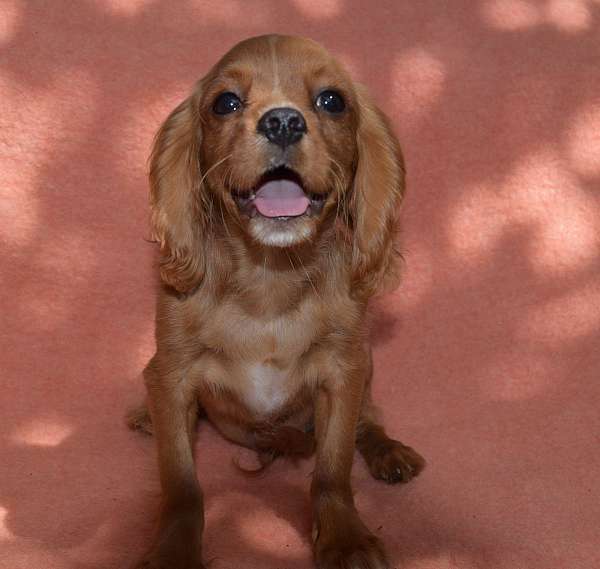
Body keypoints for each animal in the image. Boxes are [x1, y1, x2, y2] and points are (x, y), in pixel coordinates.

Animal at [128, 34, 424, 568]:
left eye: (332, 101)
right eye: (225, 103)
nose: (282, 120)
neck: (269, 276)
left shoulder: (343, 371)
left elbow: (333, 469)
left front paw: (345, 538)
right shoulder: (173, 374)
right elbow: (182, 486)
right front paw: (173, 552)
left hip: (368, 363)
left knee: (368, 421)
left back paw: (386, 451)